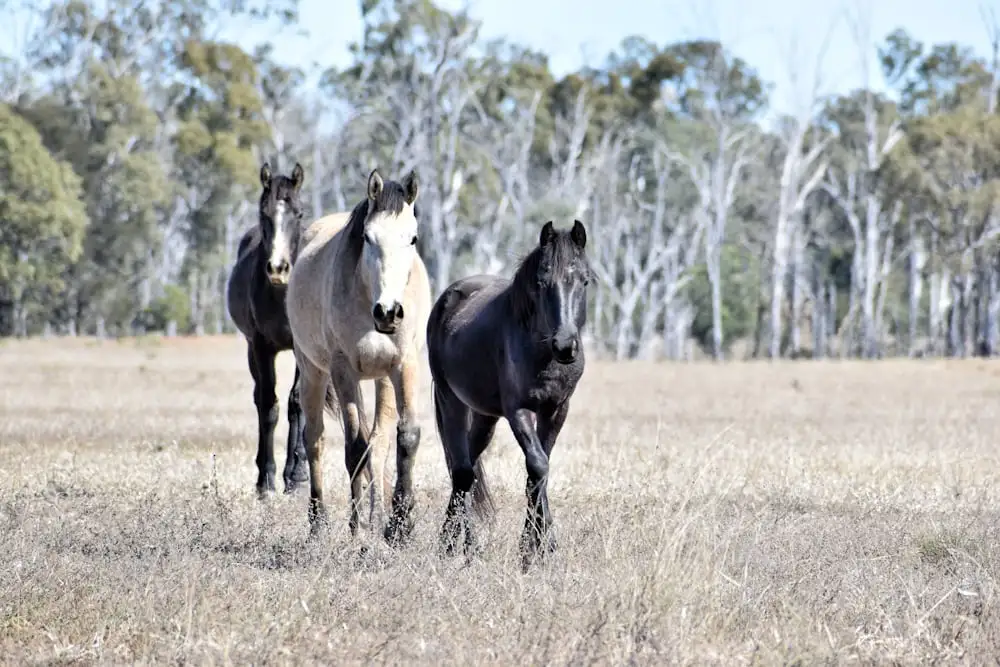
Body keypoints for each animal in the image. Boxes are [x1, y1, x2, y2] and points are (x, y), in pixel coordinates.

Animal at [424, 222, 592, 572]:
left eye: (584, 280)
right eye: (542, 282)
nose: (565, 346)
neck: (540, 351)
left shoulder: (556, 410)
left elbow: (538, 472)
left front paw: (532, 549)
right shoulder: (519, 411)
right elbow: (538, 466)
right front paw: (542, 547)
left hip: (485, 417)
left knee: (468, 467)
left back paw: (454, 544)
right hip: (451, 400)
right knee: (462, 471)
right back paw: (461, 548)